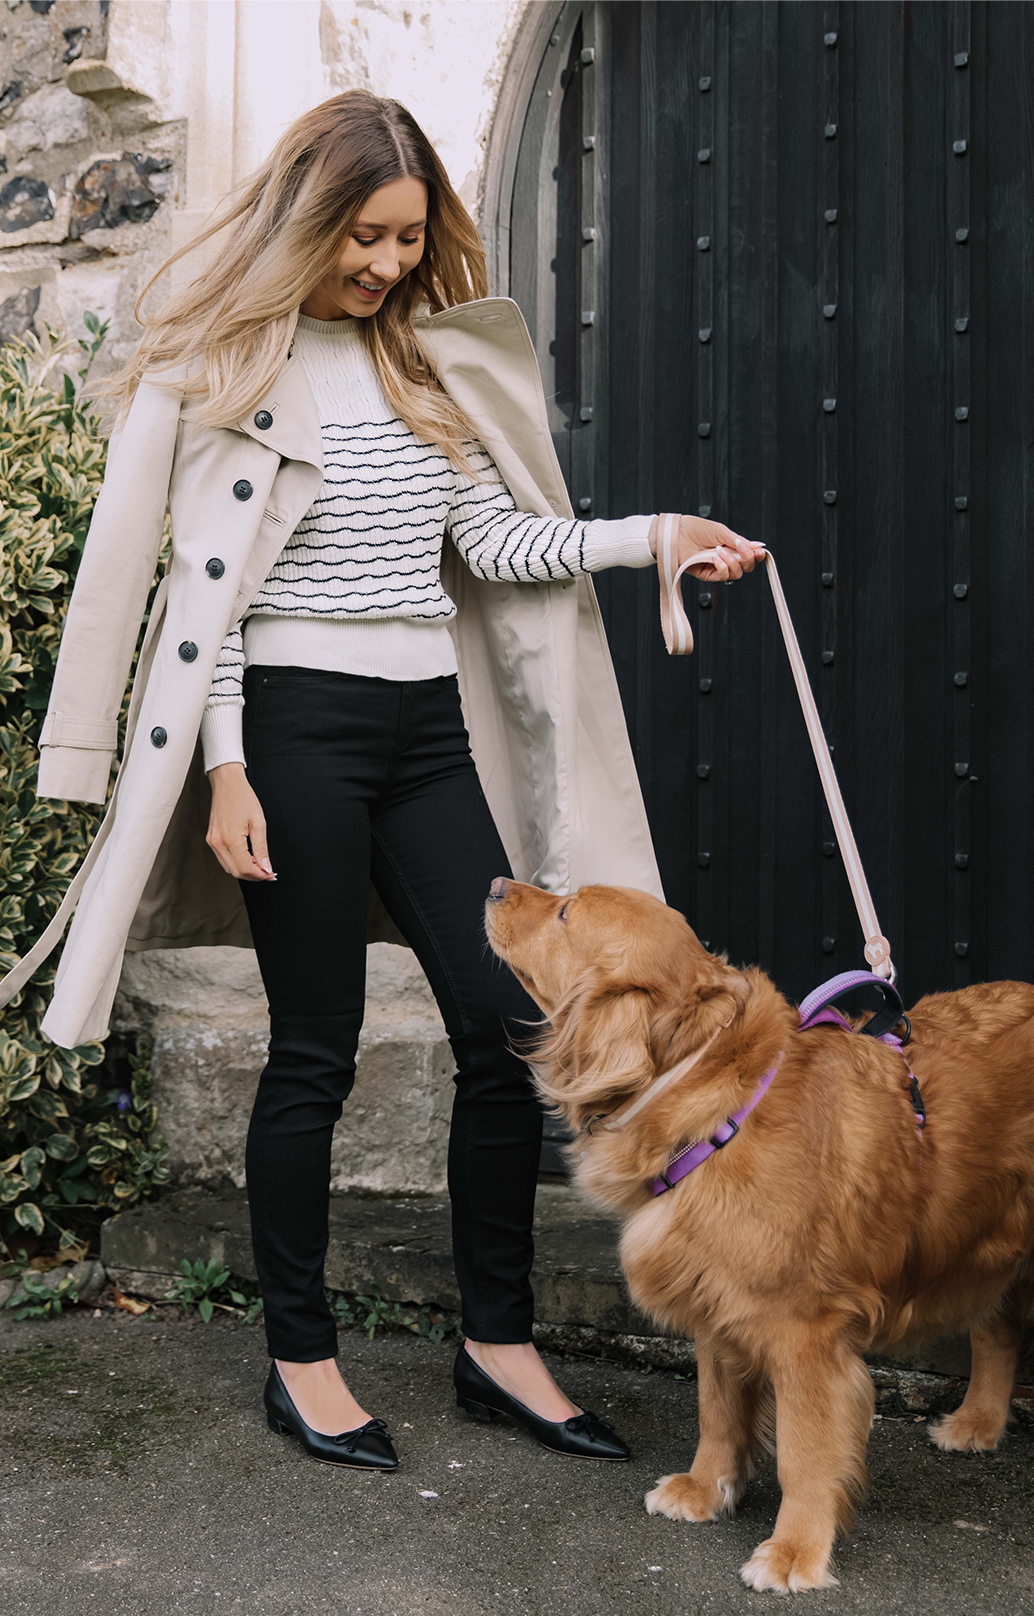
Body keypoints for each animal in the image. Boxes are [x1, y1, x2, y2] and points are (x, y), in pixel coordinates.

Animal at [484, 872, 1034, 1590]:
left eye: (566, 913)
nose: (495, 885)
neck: (712, 1099)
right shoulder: (718, 1302)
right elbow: (717, 1413)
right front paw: (705, 1488)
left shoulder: (806, 1334)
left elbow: (804, 1450)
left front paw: (795, 1549)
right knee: (999, 1329)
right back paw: (978, 1423)